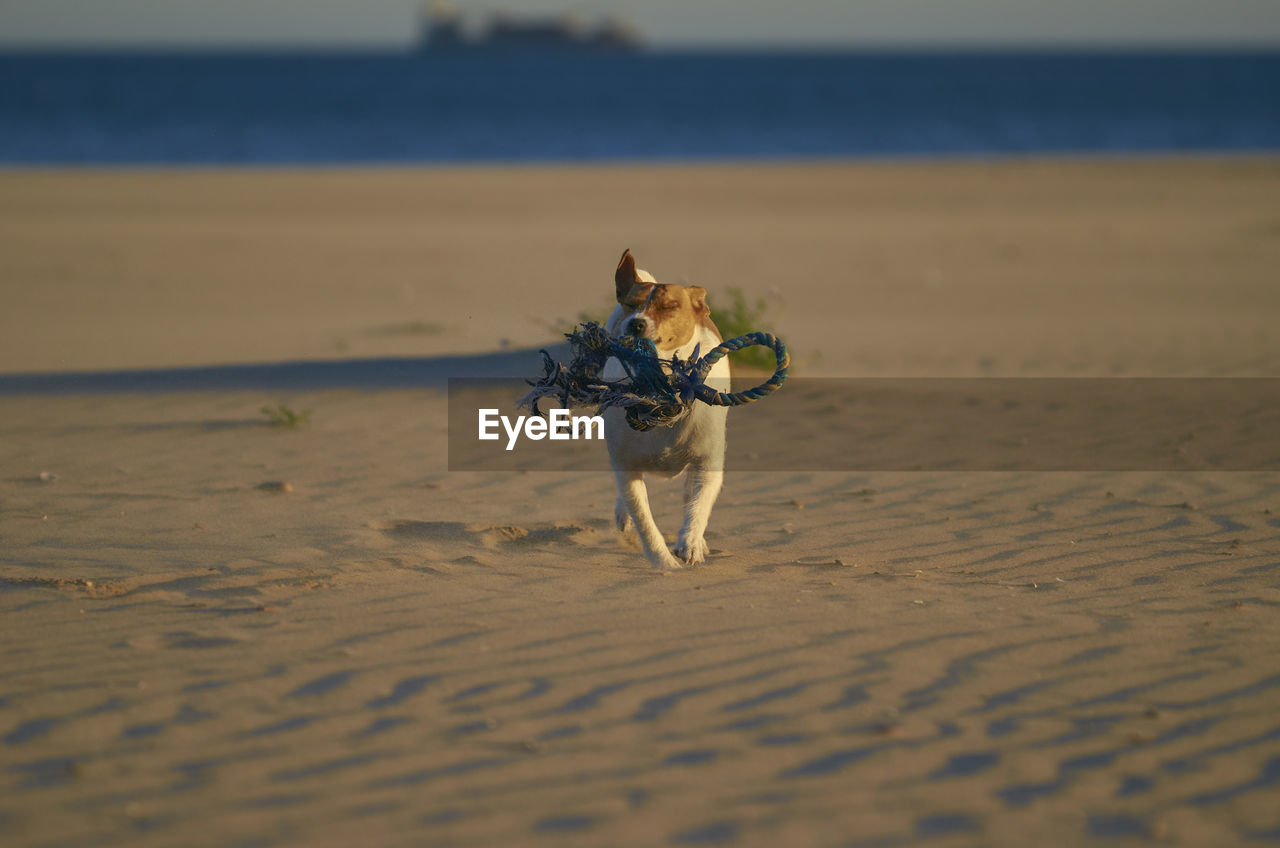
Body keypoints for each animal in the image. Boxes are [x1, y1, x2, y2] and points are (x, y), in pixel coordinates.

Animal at [601, 249, 732, 573]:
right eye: (631, 304)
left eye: (669, 306)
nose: (635, 323)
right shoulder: (627, 467)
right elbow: (644, 520)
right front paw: (665, 564)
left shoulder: (707, 463)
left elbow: (698, 505)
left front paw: (690, 543)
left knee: (689, 494)